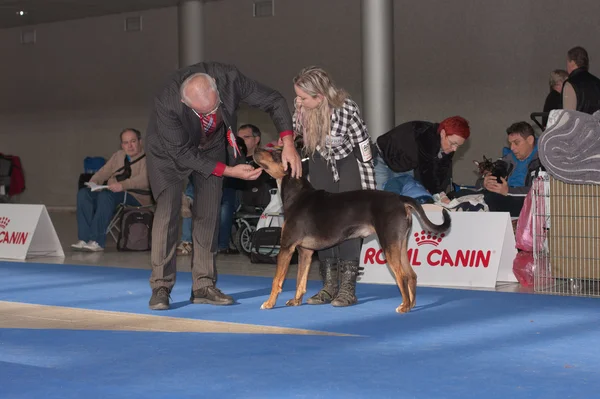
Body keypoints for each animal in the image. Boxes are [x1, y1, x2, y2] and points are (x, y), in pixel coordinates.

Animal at [252, 148, 450, 314]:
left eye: (275, 154)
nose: (255, 151)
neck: (297, 195)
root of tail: (400, 198)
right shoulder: (305, 252)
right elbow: (300, 280)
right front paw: (295, 301)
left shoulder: (286, 247)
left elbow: (277, 280)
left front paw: (269, 303)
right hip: (399, 244)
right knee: (411, 275)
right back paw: (412, 304)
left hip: (388, 244)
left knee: (401, 276)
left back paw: (404, 307)